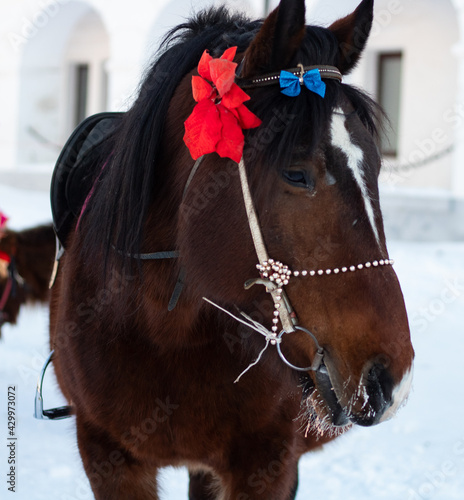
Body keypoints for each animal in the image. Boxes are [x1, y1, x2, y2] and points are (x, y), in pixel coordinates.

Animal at [49, 0, 416, 498]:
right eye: (296, 172)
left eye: (377, 166)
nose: (390, 378)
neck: (164, 330)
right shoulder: (107, 456)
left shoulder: (266, 464)